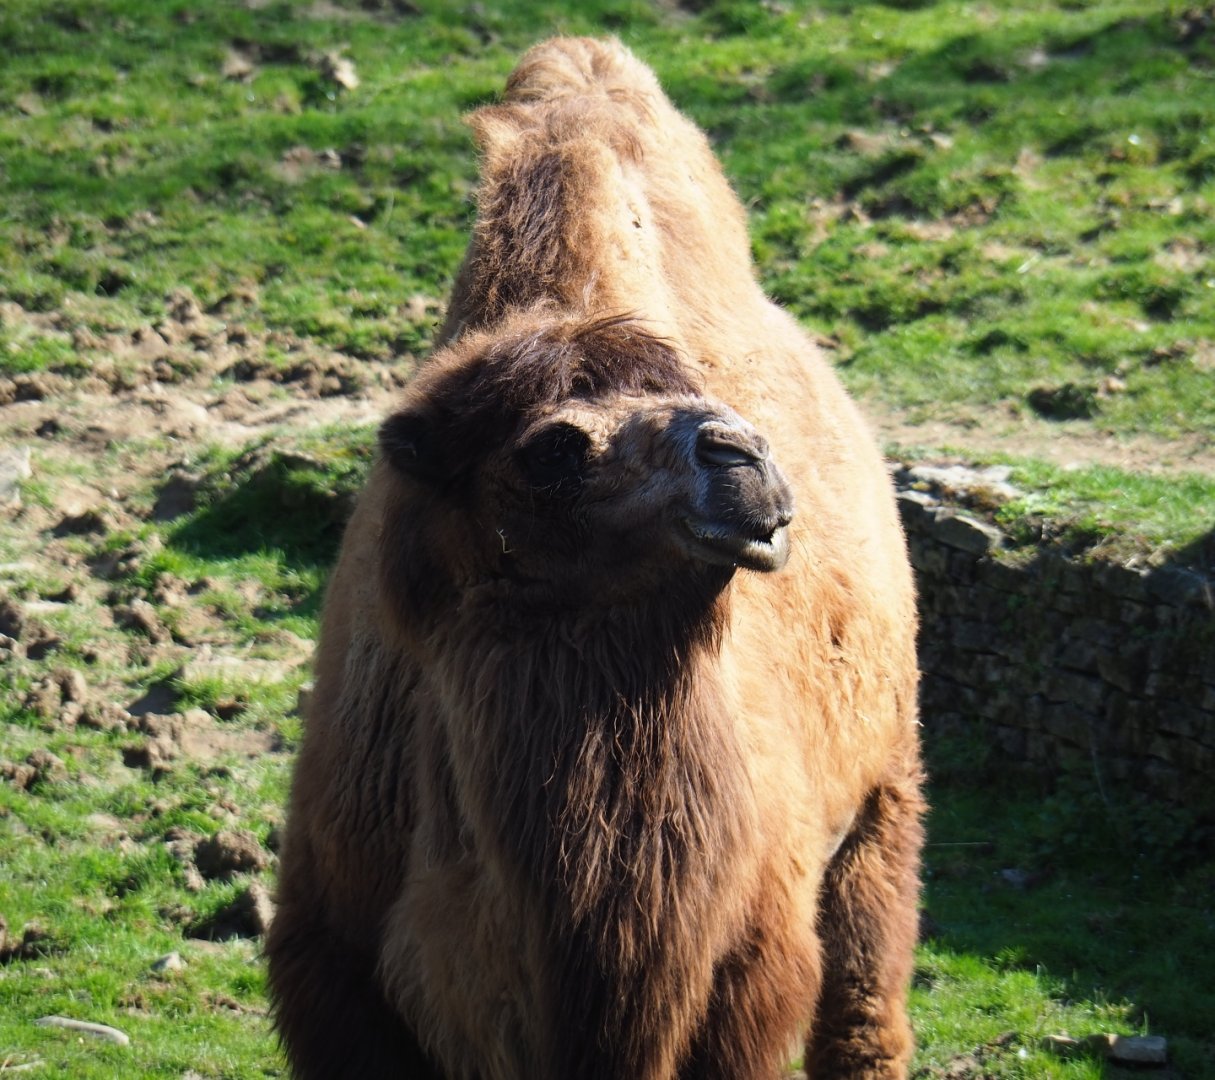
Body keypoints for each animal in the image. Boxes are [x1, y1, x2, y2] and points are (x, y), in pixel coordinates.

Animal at [266, 36, 924, 1080]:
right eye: (552, 450)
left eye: (702, 391)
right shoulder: (334, 971)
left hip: (881, 799)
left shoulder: (747, 976)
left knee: (865, 991)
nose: (745, 458)